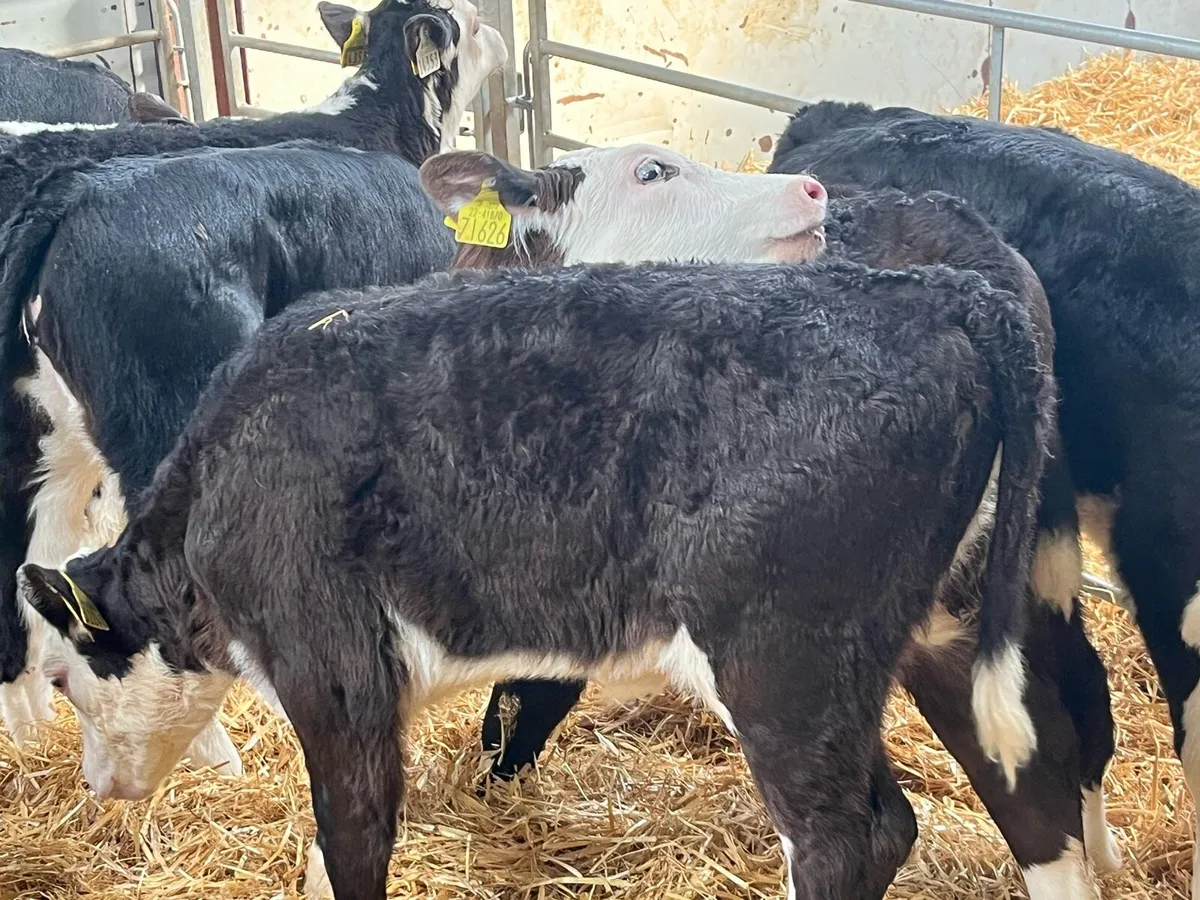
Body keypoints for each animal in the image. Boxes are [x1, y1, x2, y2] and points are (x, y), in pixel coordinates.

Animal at [19, 239, 1051, 899]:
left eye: (63, 678)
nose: (96, 790)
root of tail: (937, 293)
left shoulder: (334, 673)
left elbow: (351, 840)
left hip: (784, 661)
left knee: (845, 841)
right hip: (922, 636)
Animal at [416, 144, 1116, 897]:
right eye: (651, 172)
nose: (812, 190)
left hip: (786, 642)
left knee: (870, 824)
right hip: (960, 601)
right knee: (1040, 751)